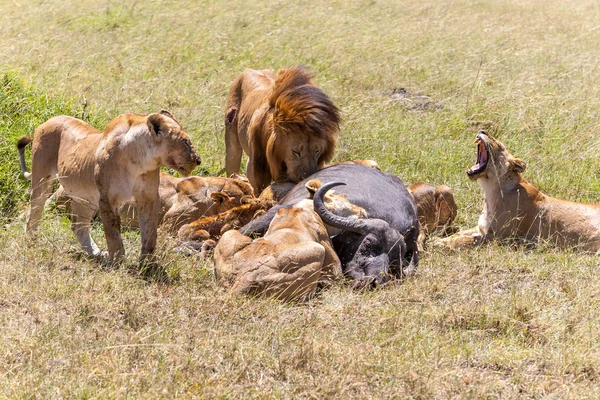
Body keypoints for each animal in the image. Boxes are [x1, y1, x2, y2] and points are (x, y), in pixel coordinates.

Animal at [21, 111, 202, 262]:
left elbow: (150, 233)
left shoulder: (148, 198)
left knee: (78, 226)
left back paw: (96, 253)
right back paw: (32, 240)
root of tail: (50, 119)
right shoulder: (107, 199)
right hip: (42, 179)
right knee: (34, 212)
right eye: (185, 142)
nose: (198, 160)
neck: (140, 160)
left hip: (84, 196)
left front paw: (147, 264)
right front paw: (117, 261)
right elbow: (113, 233)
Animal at [214, 180, 366, 300]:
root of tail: (246, 277)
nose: (363, 211)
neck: (299, 209)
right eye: (343, 199)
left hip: (229, 235)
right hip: (317, 250)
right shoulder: (333, 266)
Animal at [224, 66, 338, 195]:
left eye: (317, 151)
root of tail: (249, 69)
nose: (305, 179)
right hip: (232, 143)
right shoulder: (256, 168)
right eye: (296, 152)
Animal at [438, 130, 600, 250]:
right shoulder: (482, 227)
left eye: (498, 144)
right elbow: (459, 234)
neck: (490, 189)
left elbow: (466, 240)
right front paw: (440, 239)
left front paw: (438, 244)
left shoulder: (500, 236)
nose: (482, 130)